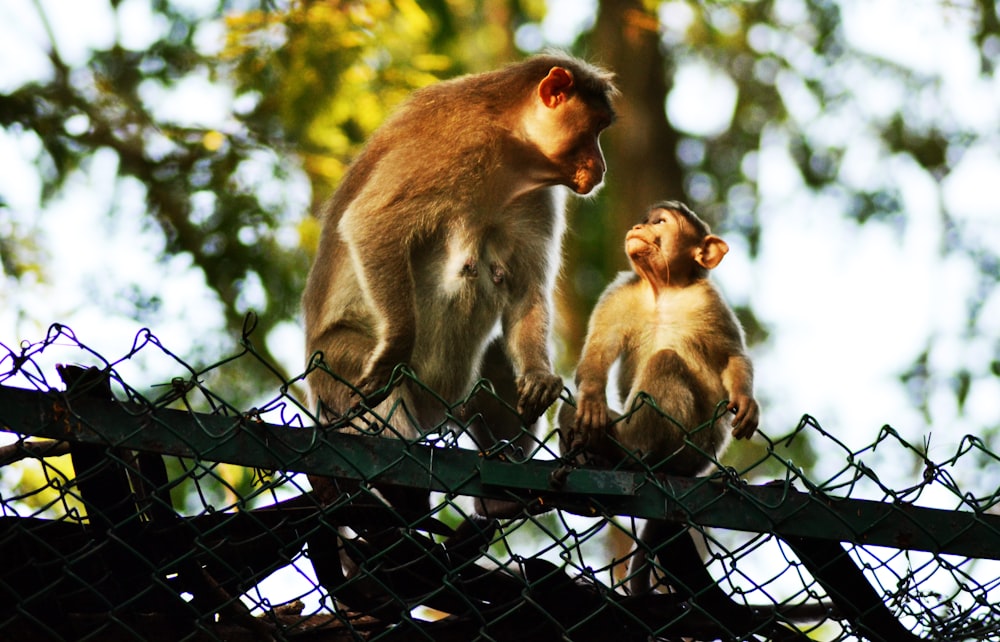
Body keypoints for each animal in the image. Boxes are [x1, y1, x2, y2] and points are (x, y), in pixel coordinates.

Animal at [302, 53, 616, 516]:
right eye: (594, 129)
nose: (602, 166)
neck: (511, 149)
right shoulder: (457, 147)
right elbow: (372, 224)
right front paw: (394, 349)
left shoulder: (536, 198)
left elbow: (526, 292)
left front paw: (539, 375)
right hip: (333, 368)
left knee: (497, 358)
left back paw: (502, 495)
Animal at [564, 200, 756, 476]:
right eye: (646, 220)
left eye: (660, 222)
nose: (638, 227)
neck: (663, 290)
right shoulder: (618, 295)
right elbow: (597, 351)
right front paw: (591, 398)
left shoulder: (709, 301)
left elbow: (731, 356)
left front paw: (745, 400)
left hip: (695, 446)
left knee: (664, 360)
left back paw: (626, 448)